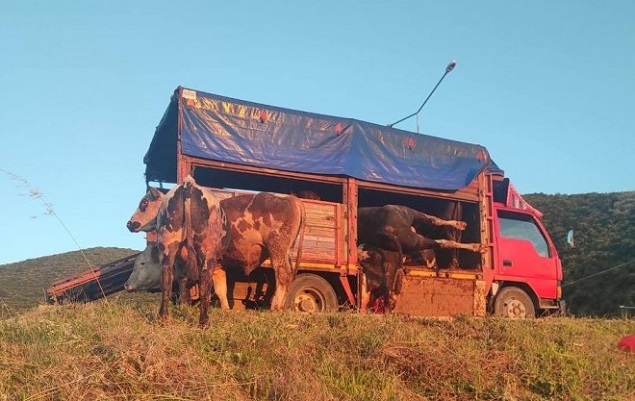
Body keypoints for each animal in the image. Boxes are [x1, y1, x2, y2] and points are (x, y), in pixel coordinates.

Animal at [126, 175, 229, 324]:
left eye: (144, 202)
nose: (129, 224)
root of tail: (188, 184)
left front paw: (183, 307)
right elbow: (221, 290)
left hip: (168, 246)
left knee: (167, 279)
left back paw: (163, 318)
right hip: (207, 249)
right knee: (204, 281)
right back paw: (203, 321)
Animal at [126, 191, 306, 312]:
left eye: (144, 202)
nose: (129, 223)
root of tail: (288, 198)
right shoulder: (217, 266)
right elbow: (220, 289)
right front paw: (225, 309)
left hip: (277, 249)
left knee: (282, 275)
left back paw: (275, 306)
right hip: (286, 252)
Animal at [358, 205, 486, 268]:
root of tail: (386, 228)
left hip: (408, 217)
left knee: (433, 219)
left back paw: (461, 225)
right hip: (413, 238)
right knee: (443, 241)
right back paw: (478, 246)